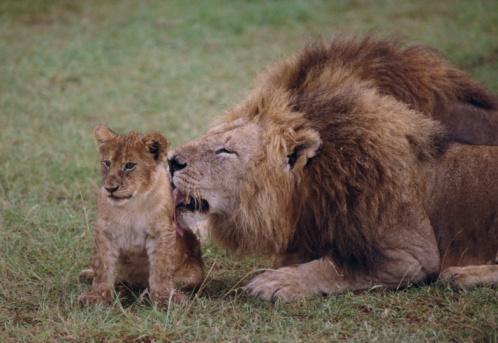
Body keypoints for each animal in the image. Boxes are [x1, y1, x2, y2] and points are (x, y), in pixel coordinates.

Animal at [168, 37, 498, 300]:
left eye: (226, 150)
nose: (171, 160)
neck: (307, 192)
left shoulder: (411, 254)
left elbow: (340, 267)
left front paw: (278, 282)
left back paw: (462, 275)